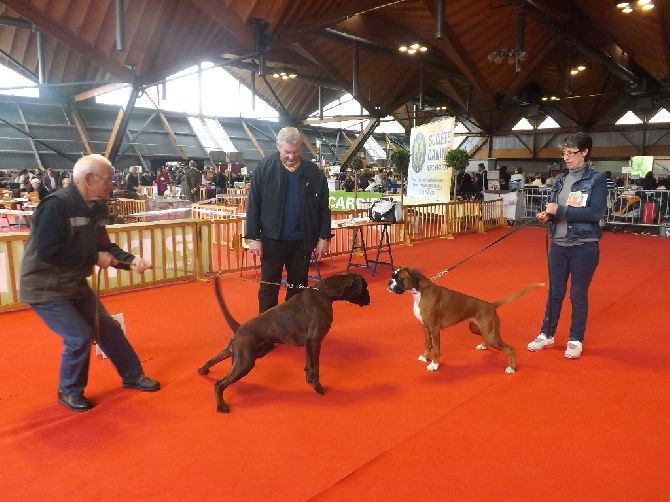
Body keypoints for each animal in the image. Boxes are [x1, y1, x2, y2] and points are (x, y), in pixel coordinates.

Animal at [198, 272, 372, 414]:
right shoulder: (315, 341)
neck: (325, 293)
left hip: (234, 354)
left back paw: (203, 370)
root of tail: (240, 327)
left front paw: (309, 379)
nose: (369, 299)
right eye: (365, 287)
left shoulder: (309, 343)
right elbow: (316, 367)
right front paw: (318, 387)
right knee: (219, 384)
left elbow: (309, 364)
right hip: (245, 363)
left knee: (213, 360)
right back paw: (221, 406)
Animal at [388, 268, 544, 374]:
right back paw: (483, 345)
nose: (389, 282)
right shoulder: (425, 327)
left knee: (510, 349)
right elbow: (428, 344)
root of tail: (490, 305)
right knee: (487, 339)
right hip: (479, 329)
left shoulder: (434, 329)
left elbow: (436, 348)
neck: (420, 292)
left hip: (490, 334)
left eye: (399, 278)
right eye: (392, 276)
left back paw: (511, 368)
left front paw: (434, 364)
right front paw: (425, 357)